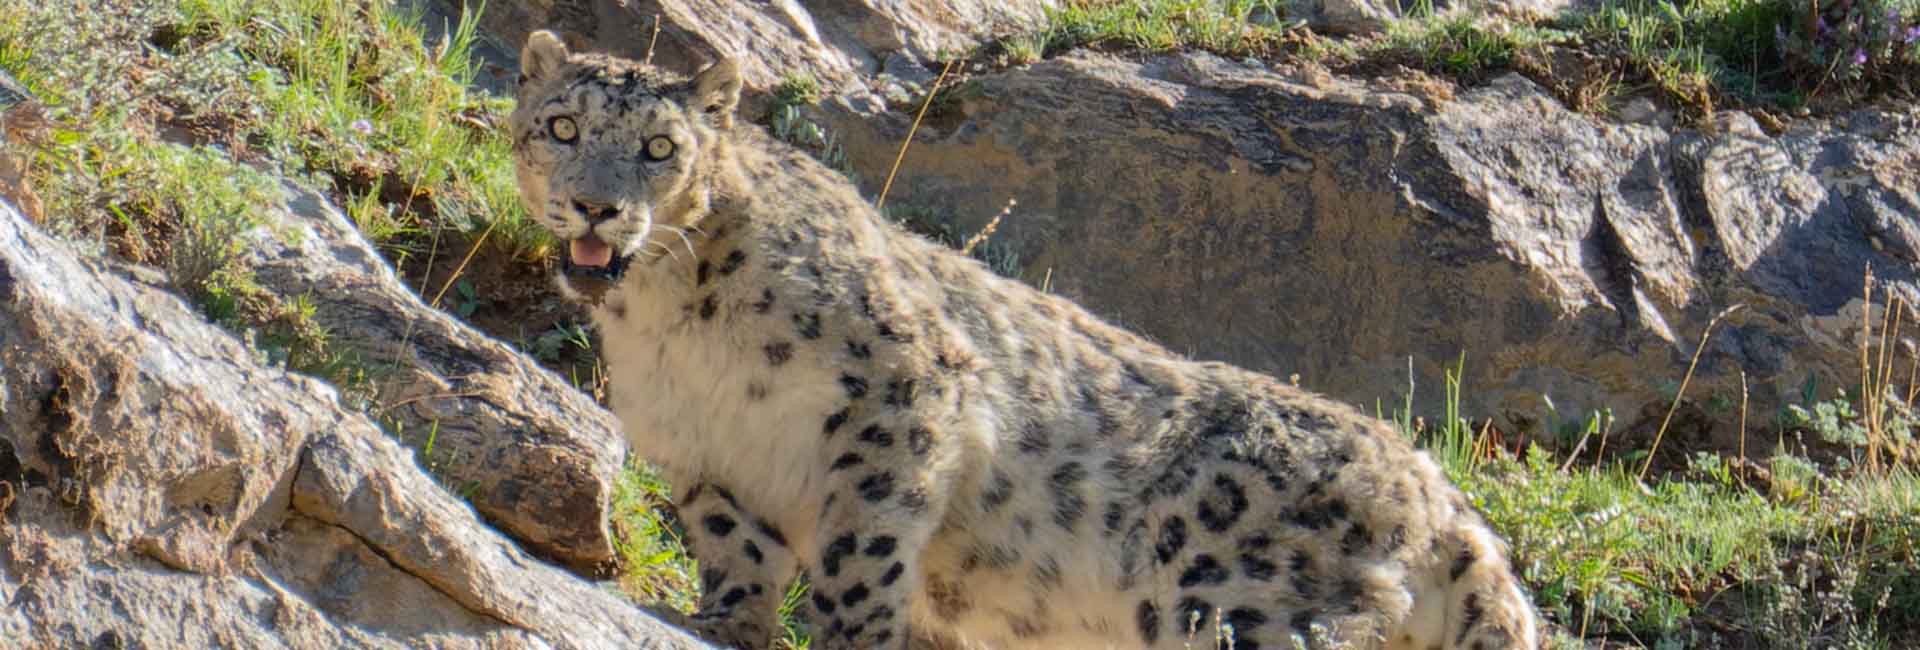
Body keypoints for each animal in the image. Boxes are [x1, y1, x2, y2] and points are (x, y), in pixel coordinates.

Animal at [508, 29, 1542, 650]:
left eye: (659, 149)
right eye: (560, 127)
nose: (597, 205)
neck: (675, 325)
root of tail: (1446, 500)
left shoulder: (903, 396)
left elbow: (862, 548)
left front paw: (846, 633)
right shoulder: (702, 455)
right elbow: (737, 550)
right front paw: (727, 620)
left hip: (1233, 592)